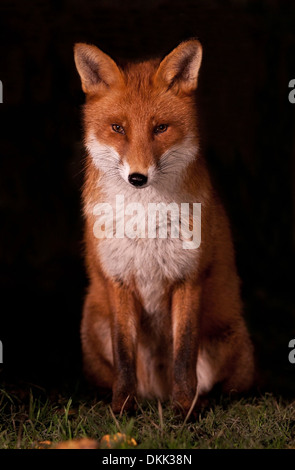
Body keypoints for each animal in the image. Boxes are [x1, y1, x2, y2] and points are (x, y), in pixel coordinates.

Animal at [73, 40, 254, 414]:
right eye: (118, 128)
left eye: (160, 128)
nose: (137, 177)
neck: (145, 221)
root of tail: (155, 391)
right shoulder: (118, 279)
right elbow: (124, 355)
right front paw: (122, 409)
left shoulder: (189, 277)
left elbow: (183, 355)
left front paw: (185, 410)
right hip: (92, 323)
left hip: (227, 342)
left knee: (231, 388)